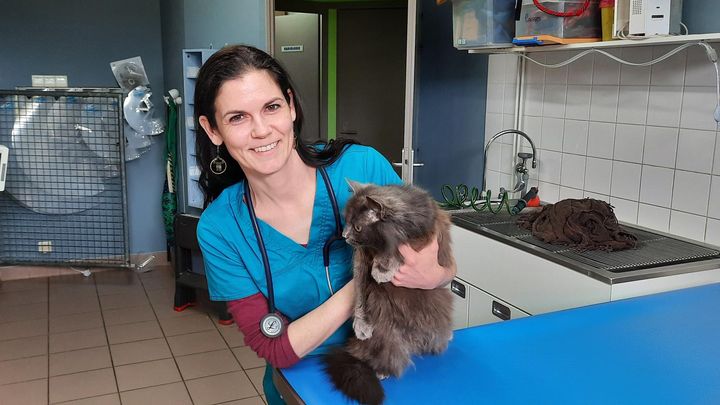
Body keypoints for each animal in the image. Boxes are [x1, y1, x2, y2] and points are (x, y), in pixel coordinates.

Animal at [324, 182, 452, 404]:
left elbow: (400, 248)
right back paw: (381, 369)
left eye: (357, 227)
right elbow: (360, 293)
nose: (345, 236)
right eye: (346, 221)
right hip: (384, 330)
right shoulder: (361, 260)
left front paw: (383, 268)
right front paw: (361, 324)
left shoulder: (427, 232)